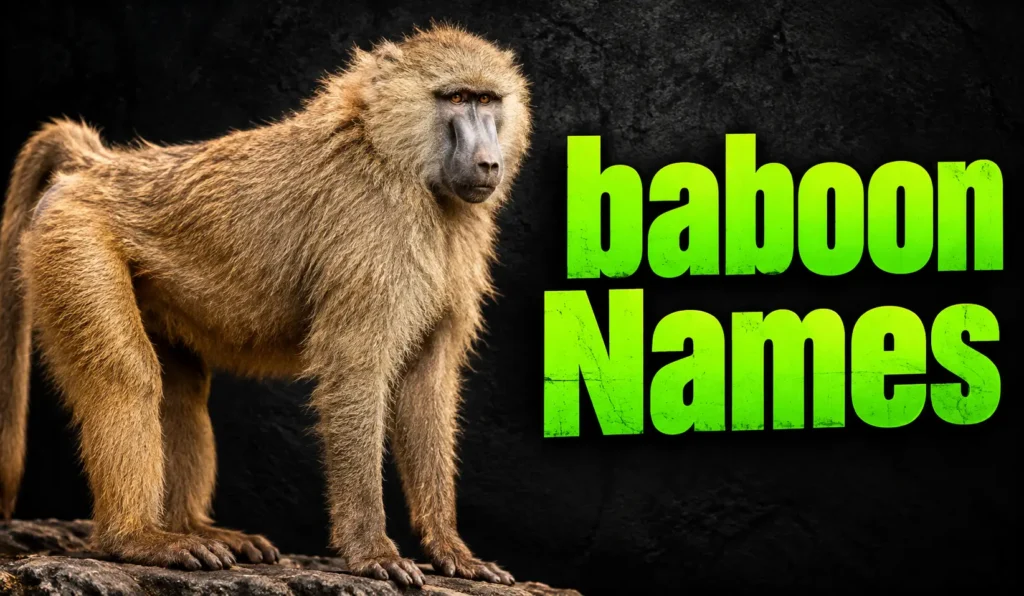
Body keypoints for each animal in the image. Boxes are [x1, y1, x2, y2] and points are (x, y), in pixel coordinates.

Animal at [0, 23, 531, 588]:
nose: (488, 163)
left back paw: (193, 528)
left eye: (488, 100)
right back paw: (139, 540)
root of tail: (99, 168)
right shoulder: (374, 228)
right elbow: (354, 373)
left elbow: (425, 385)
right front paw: (371, 551)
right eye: (456, 98)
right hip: (74, 234)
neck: (390, 152)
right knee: (127, 374)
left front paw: (449, 549)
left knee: (181, 391)